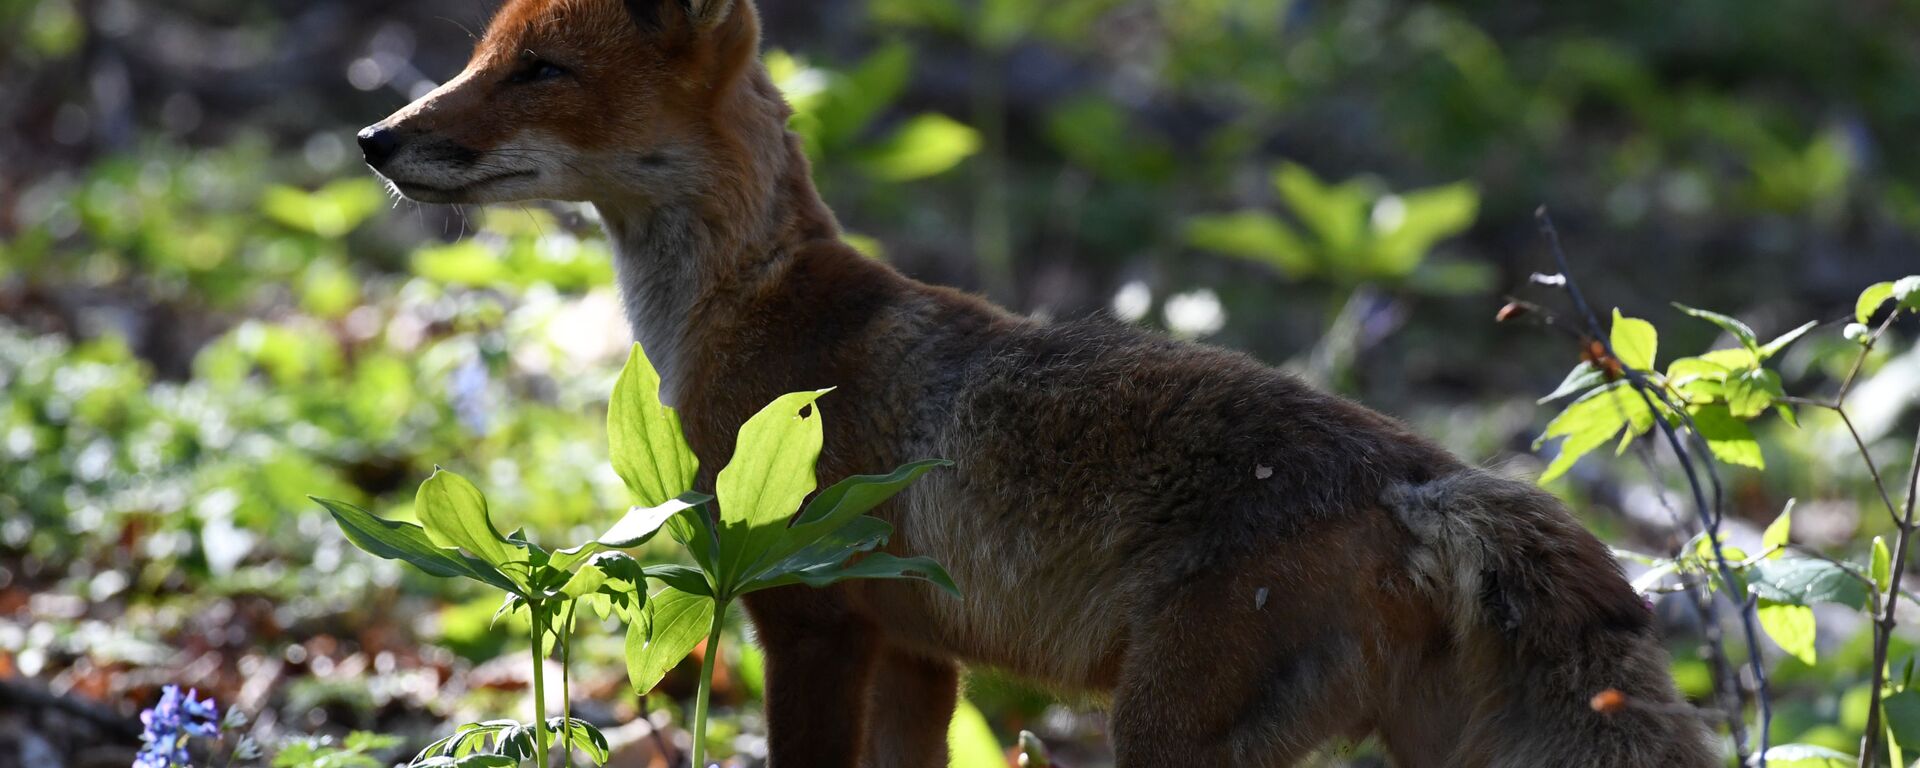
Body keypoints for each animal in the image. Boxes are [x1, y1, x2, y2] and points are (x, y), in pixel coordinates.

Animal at [360, 3, 1728, 764]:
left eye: (538, 69)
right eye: (480, 54)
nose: (374, 137)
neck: (746, 312)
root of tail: (1430, 482)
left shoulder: (806, 616)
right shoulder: (915, 654)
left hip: (1164, 735)